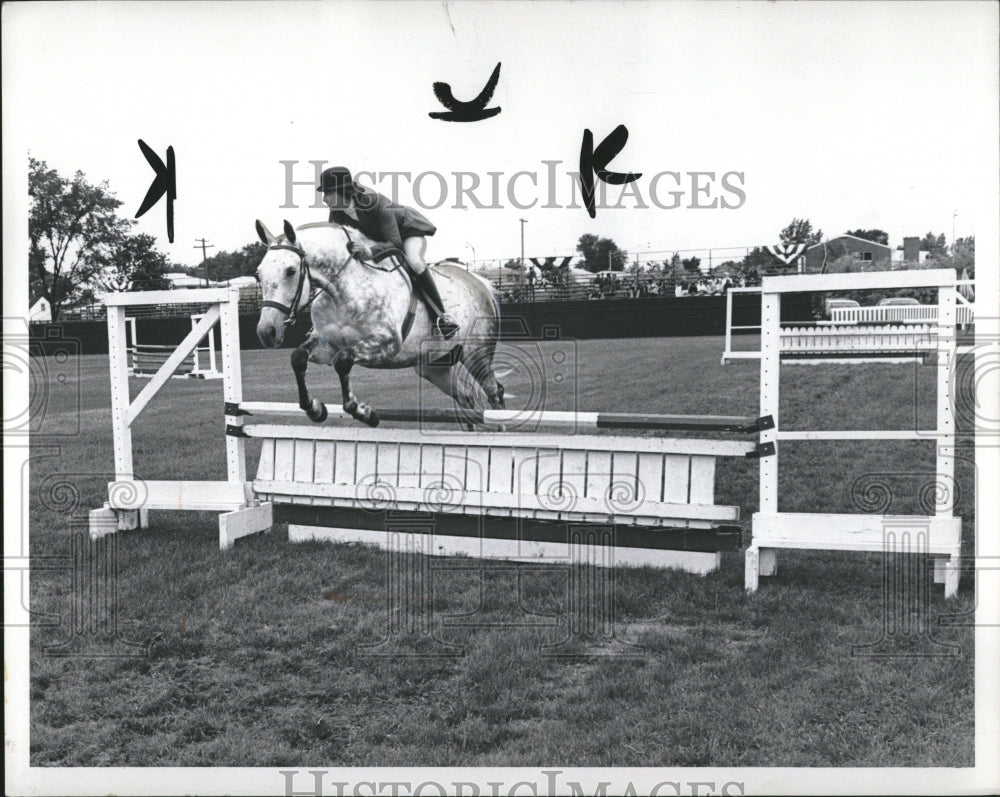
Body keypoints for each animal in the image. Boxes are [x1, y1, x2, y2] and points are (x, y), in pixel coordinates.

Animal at [254, 218, 504, 426]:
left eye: (290, 271)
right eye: (258, 274)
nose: (267, 332)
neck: (342, 290)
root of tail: (479, 281)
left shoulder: (387, 344)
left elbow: (343, 361)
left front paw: (365, 413)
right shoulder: (326, 345)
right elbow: (298, 357)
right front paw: (315, 409)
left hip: (476, 354)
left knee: (494, 391)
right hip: (434, 366)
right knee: (467, 397)